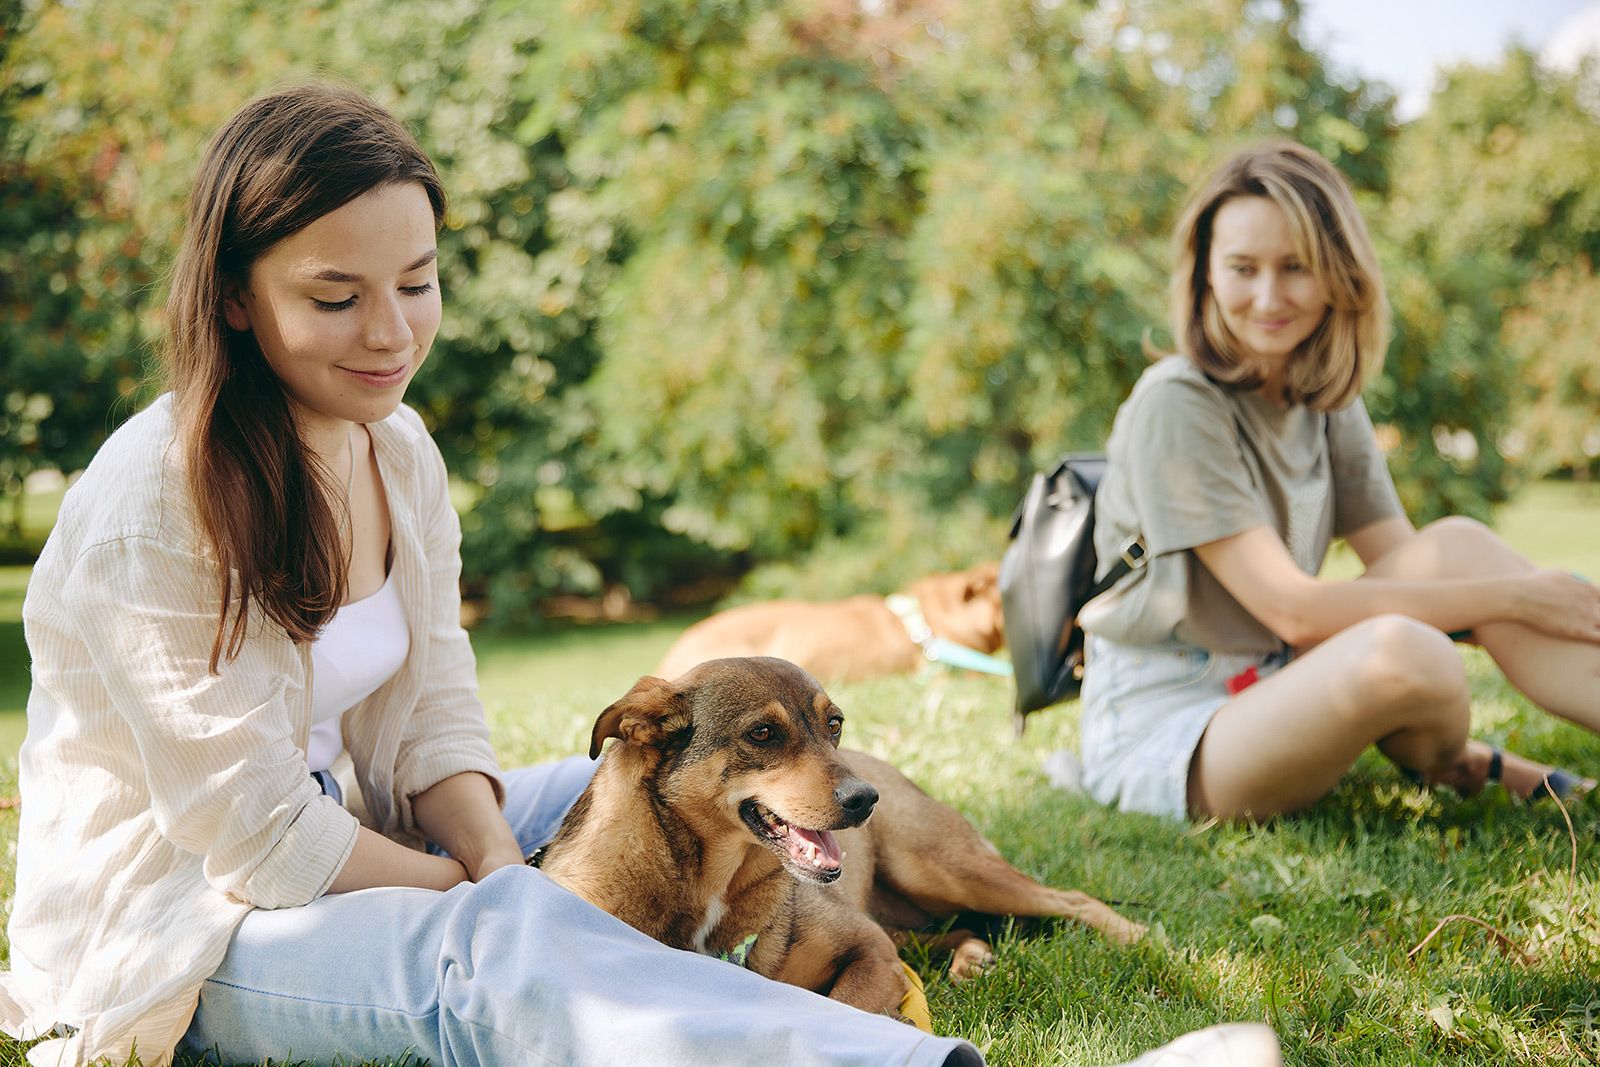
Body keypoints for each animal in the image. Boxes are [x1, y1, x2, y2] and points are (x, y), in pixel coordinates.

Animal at [537, 655, 1139, 1023]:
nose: (865, 800)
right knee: (959, 931)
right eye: (763, 733)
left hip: (945, 872)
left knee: (1071, 899)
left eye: (835, 725)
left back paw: (1145, 940)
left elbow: (847, 1004)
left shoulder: (868, 946)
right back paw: (972, 961)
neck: (709, 880)